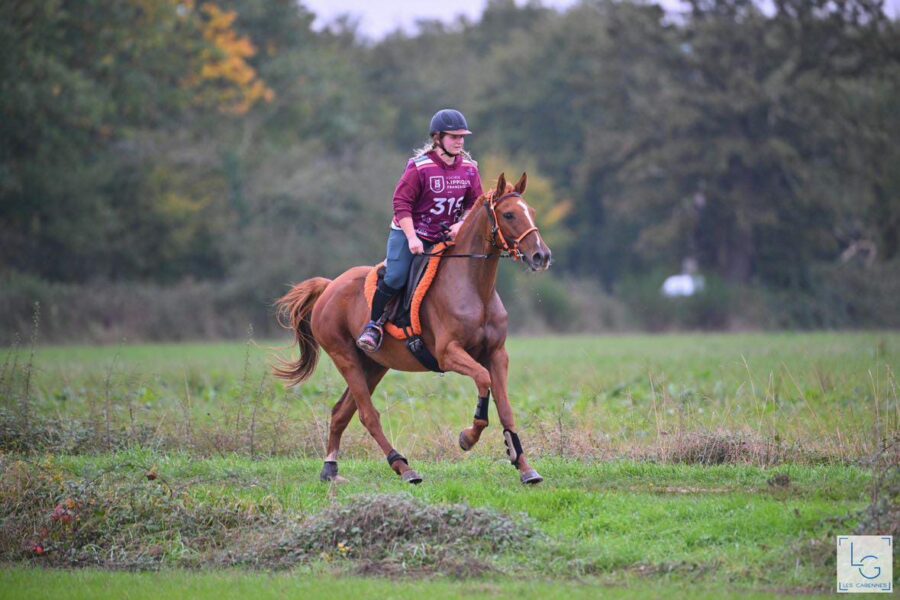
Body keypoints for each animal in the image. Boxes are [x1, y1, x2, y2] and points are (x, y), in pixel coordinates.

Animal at [272, 171, 548, 486]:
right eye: (510, 214)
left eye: (532, 212)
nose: (541, 256)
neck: (475, 290)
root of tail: (329, 286)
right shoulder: (449, 354)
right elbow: (482, 380)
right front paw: (467, 438)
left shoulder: (497, 354)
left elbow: (506, 408)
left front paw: (523, 465)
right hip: (346, 358)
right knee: (367, 415)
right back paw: (403, 467)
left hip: (374, 365)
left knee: (342, 412)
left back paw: (330, 469)